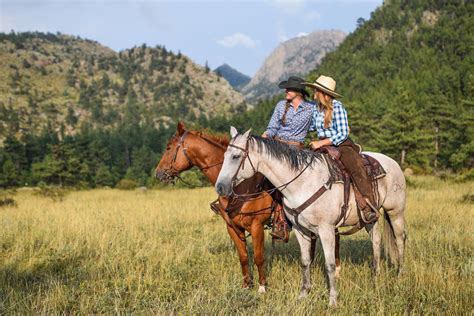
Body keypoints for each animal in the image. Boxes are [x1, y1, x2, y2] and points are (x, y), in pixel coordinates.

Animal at [156, 122, 274, 292]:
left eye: (168, 148)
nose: (158, 173)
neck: (241, 185)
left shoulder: (257, 226)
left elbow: (259, 257)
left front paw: (262, 287)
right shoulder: (232, 228)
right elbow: (243, 257)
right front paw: (246, 286)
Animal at [217, 128, 406, 306]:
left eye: (235, 156)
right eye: (224, 155)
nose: (220, 187)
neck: (303, 183)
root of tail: (393, 163)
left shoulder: (326, 230)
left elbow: (330, 265)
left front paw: (332, 300)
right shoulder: (301, 230)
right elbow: (305, 261)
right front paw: (303, 294)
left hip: (395, 212)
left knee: (399, 240)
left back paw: (399, 275)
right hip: (368, 219)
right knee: (376, 241)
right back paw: (375, 278)